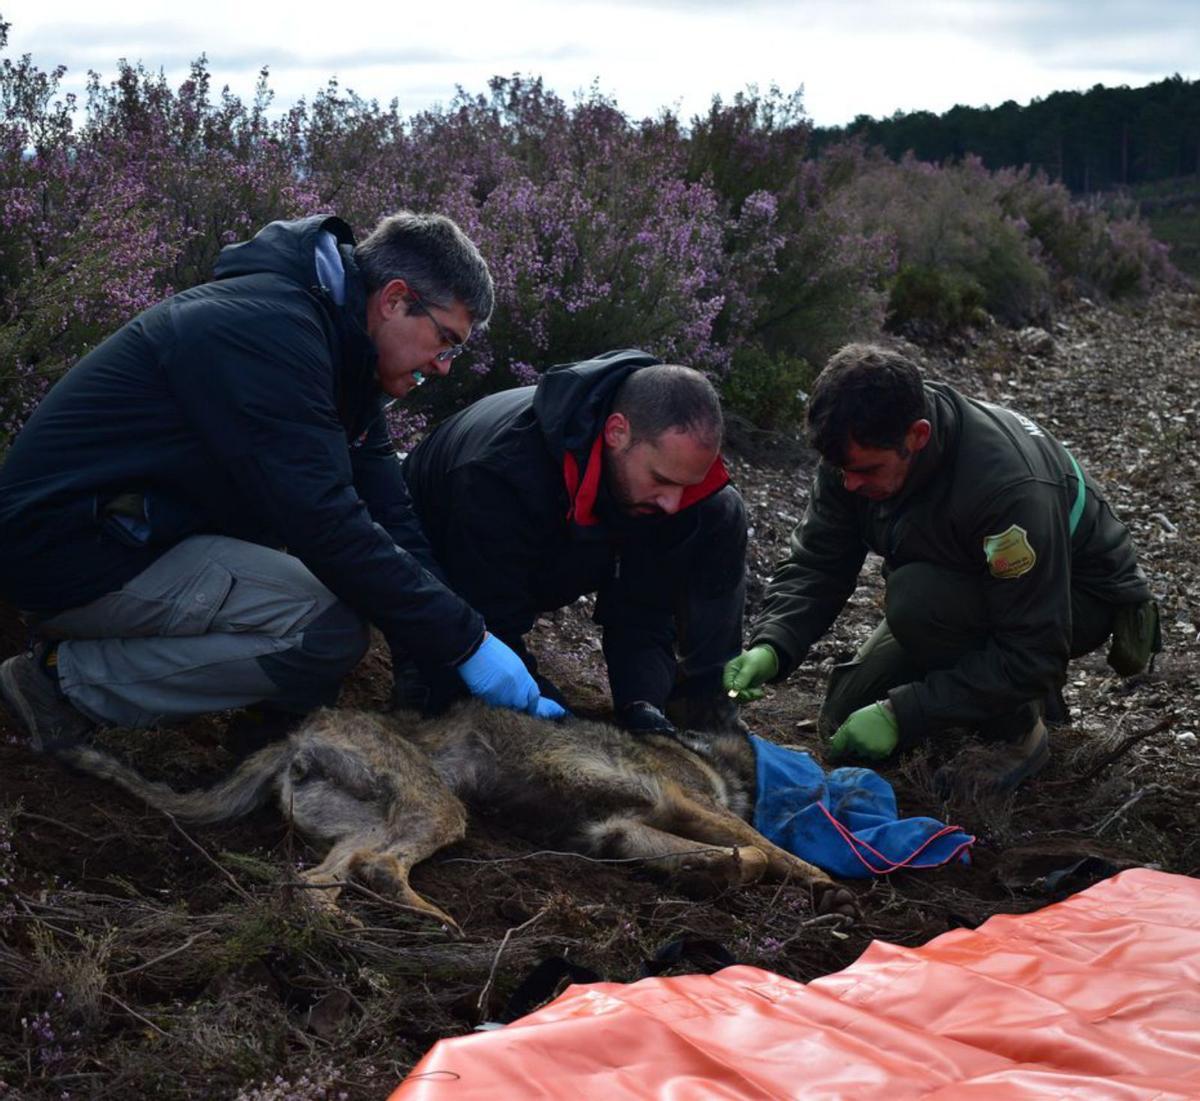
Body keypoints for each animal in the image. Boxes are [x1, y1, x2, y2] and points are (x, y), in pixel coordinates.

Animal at [60, 700, 859, 925]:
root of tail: (298, 732)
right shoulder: (679, 801)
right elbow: (760, 844)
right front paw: (822, 879)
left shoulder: (620, 830)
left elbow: (738, 855)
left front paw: (714, 876)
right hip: (433, 806)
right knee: (380, 869)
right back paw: (427, 919)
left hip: (365, 822)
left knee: (322, 879)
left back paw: (355, 928)